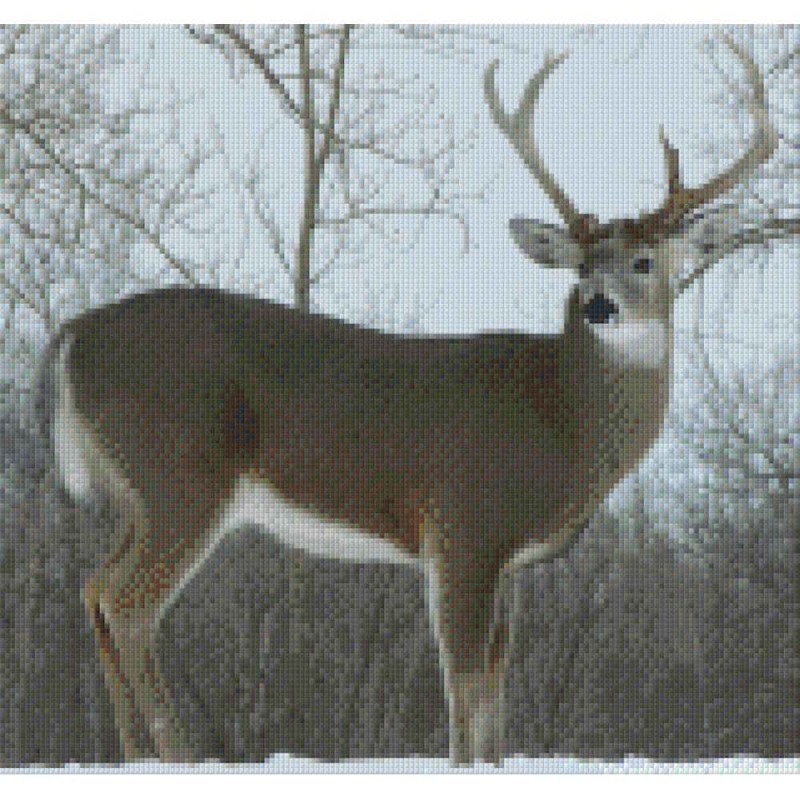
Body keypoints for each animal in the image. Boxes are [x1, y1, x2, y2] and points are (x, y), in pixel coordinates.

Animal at [40, 34, 775, 767]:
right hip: (182, 475)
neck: (562, 418)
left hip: (139, 491)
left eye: (644, 262)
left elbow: (494, 694)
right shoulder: (463, 523)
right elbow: (463, 686)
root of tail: (74, 333)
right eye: (582, 266)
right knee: (129, 605)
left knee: (95, 587)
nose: (597, 304)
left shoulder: (510, 559)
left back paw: (133, 755)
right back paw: (177, 755)